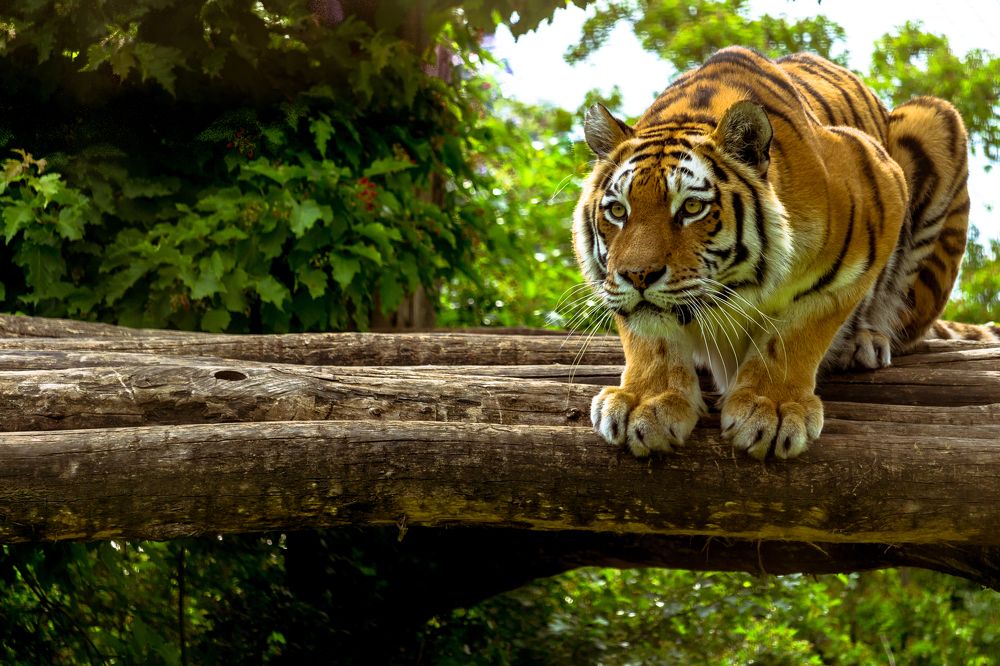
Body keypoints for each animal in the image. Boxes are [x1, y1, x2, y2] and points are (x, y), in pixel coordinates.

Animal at [573, 46, 988, 461]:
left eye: (691, 208)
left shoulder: (878, 191)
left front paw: (770, 409)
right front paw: (646, 402)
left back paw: (864, 342)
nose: (638, 276)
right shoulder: (616, 285)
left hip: (936, 119)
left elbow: (796, 331)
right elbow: (650, 336)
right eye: (618, 211)